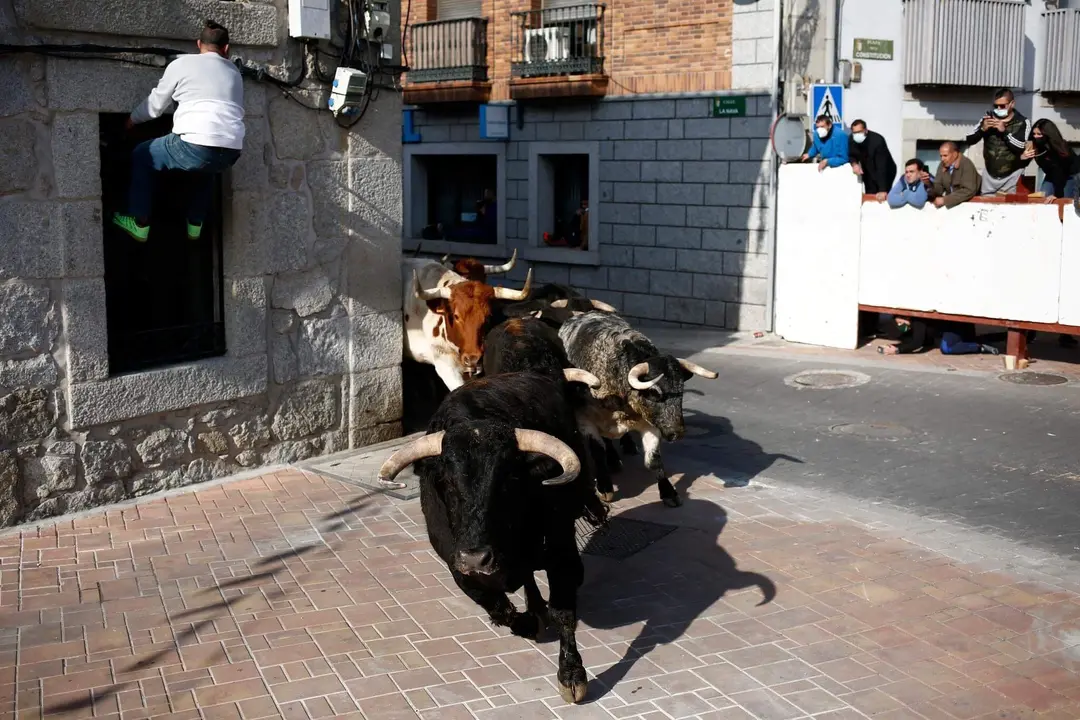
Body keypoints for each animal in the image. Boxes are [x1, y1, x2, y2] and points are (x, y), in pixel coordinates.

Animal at [377, 372, 605, 704]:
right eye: (446, 482)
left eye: (508, 480)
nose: (476, 558)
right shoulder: (456, 564)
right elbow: (497, 607)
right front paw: (528, 623)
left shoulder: (560, 548)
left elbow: (563, 610)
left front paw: (572, 675)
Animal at [559, 311, 718, 508]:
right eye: (653, 391)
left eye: (681, 390)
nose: (677, 433)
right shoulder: (585, 420)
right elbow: (598, 452)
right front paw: (605, 488)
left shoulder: (650, 424)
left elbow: (653, 460)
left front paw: (669, 492)